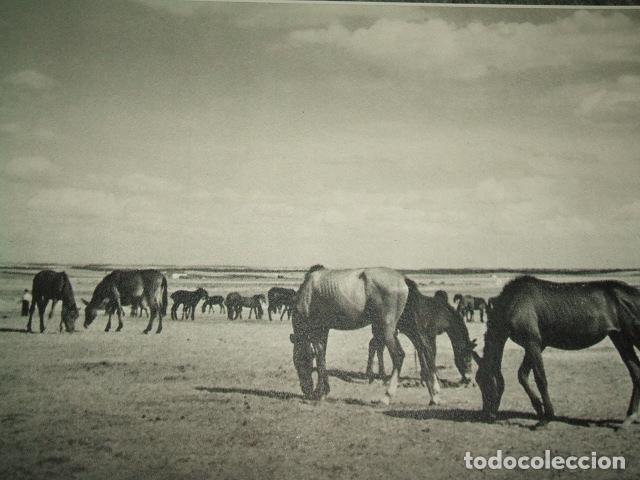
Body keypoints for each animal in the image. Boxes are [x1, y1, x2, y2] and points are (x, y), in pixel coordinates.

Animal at [290, 265, 452, 405]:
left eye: (299, 362)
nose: (306, 391)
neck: (308, 292)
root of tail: (403, 279)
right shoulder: (324, 330)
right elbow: (322, 355)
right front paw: (322, 391)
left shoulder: (316, 330)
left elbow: (319, 357)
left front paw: (320, 393)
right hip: (408, 326)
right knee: (424, 348)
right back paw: (434, 395)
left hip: (388, 330)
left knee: (399, 355)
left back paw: (387, 397)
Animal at [473, 275, 640, 429]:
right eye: (478, 380)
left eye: (486, 381)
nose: (487, 415)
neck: (513, 303)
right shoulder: (536, 345)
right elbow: (522, 375)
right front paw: (539, 408)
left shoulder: (533, 343)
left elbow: (540, 378)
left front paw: (547, 417)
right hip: (620, 337)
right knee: (635, 371)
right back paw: (629, 418)